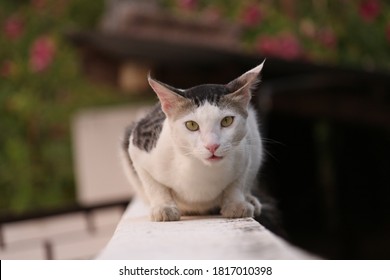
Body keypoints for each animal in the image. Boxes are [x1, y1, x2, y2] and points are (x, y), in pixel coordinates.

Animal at [122, 60, 268, 221]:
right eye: (191, 125)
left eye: (227, 121)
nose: (212, 146)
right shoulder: (137, 145)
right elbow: (154, 185)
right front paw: (163, 207)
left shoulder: (245, 153)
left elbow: (237, 183)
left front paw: (235, 204)